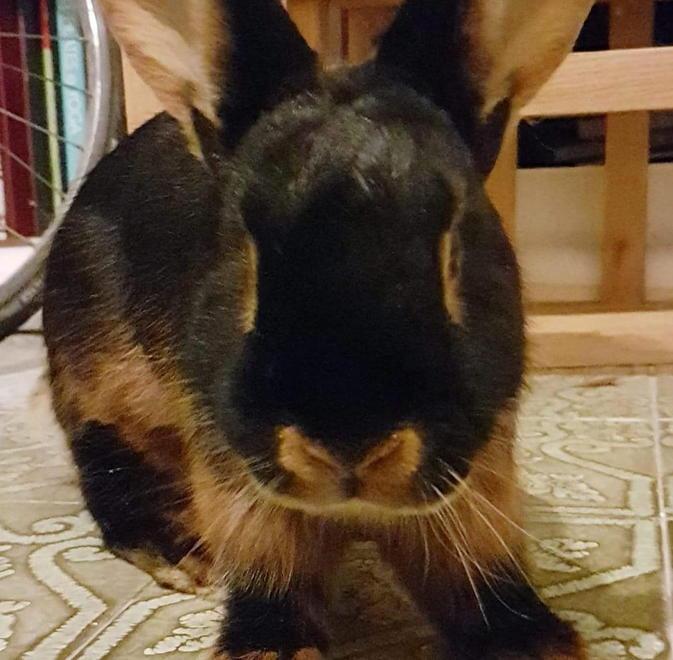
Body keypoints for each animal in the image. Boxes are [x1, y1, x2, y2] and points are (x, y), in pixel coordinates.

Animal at [43, 0, 595, 658]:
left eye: (454, 252)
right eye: (245, 256)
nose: (348, 443)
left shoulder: (477, 487)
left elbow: (474, 571)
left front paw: (532, 641)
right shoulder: (241, 488)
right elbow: (273, 572)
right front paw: (269, 646)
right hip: (102, 382)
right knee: (103, 464)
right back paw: (180, 551)